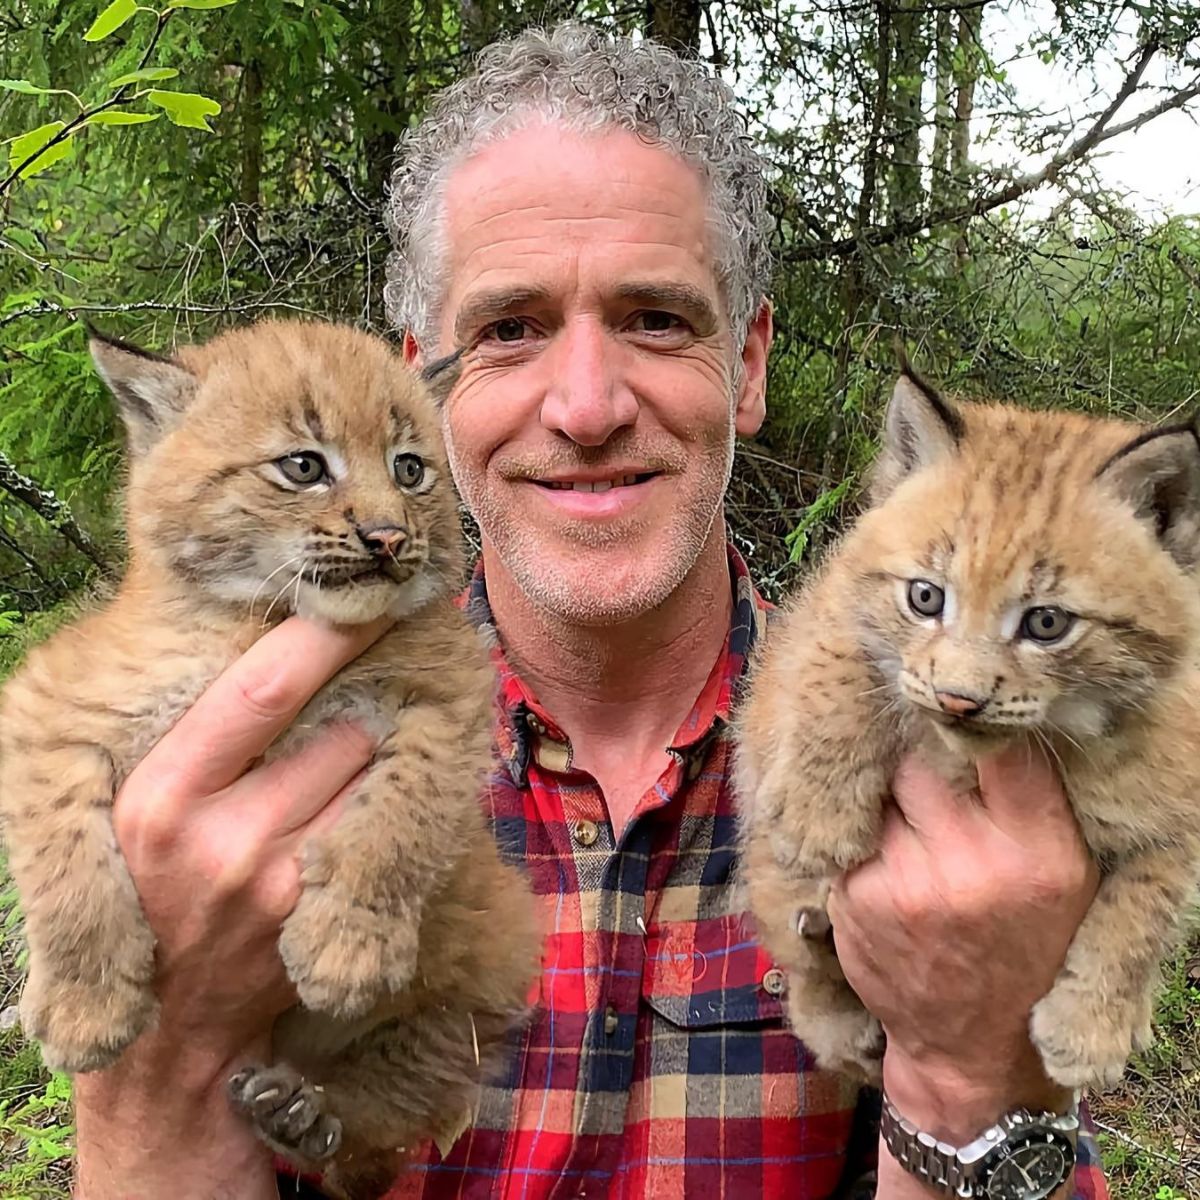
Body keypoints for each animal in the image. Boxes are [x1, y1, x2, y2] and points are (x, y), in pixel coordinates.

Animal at [0, 321, 540, 1200]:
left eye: (411, 469)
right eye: (303, 467)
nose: (390, 537)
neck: (260, 620)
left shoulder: (454, 699)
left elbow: (403, 818)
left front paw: (346, 944)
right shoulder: (48, 706)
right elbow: (64, 864)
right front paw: (86, 1006)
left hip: (490, 960)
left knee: (388, 1118)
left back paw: (310, 1110)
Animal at [734, 369, 1200, 1094]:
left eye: (1047, 623)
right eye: (925, 597)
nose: (959, 700)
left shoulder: (1179, 777)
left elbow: (1150, 899)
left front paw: (1090, 1030)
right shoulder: (836, 598)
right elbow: (841, 661)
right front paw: (818, 819)